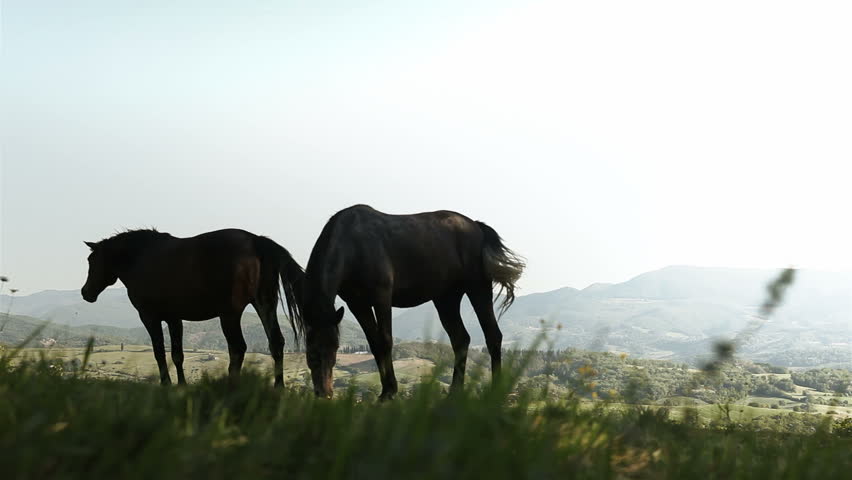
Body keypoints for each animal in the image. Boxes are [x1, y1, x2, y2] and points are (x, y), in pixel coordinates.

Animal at [80, 228, 303, 387]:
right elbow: (177, 355)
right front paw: (181, 385)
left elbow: (159, 351)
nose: (85, 293)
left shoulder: (149, 316)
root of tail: (256, 241)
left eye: (92, 260)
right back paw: (278, 388)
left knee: (238, 348)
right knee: (276, 343)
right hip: (265, 305)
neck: (141, 258)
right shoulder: (173, 318)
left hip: (230, 314)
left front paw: (166, 383)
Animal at [297, 205, 524, 399]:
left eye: (335, 348)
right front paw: (386, 389)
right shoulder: (357, 304)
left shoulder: (381, 297)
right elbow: (374, 343)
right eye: (311, 351)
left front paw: (390, 391)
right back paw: (455, 391)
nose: (324, 393)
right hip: (446, 299)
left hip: (478, 288)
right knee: (461, 339)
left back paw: (495, 390)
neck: (353, 244)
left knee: (492, 335)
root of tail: (477, 226)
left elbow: (385, 341)